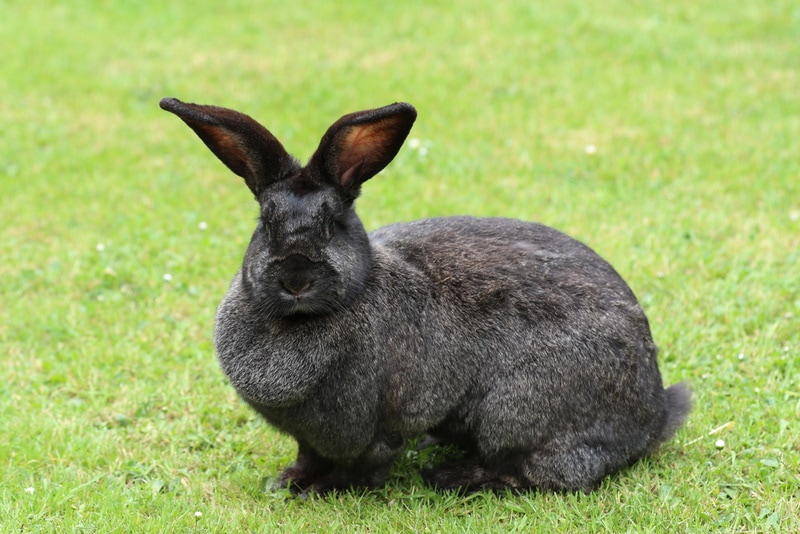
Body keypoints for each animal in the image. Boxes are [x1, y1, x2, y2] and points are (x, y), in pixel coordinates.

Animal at [159, 97, 692, 498]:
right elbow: (307, 455)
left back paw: (452, 476)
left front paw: (325, 490)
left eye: (332, 225)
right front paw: (290, 482)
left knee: (544, 472)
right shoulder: (309, 437)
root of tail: (653, 415)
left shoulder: (374, 427)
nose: (295, 279)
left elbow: (362, 465)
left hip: (515, 413)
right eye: (265, 225)